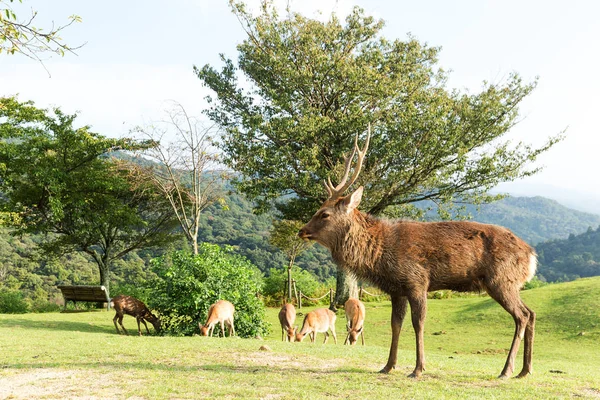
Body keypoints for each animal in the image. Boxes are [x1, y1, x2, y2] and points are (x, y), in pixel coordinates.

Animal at [298, 127, 536, 378]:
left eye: (324, 214)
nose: (301, 230)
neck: (381, 256)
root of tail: (531, 255)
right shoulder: (396, 289)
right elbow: (396, 324)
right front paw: (387, 366)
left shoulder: (417, 281)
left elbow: (418, 323)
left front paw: (418, 368)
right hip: (508, 283)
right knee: (531, 313)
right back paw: (525, 370)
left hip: (501, 280)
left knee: (521, 316)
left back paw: (507, 370)